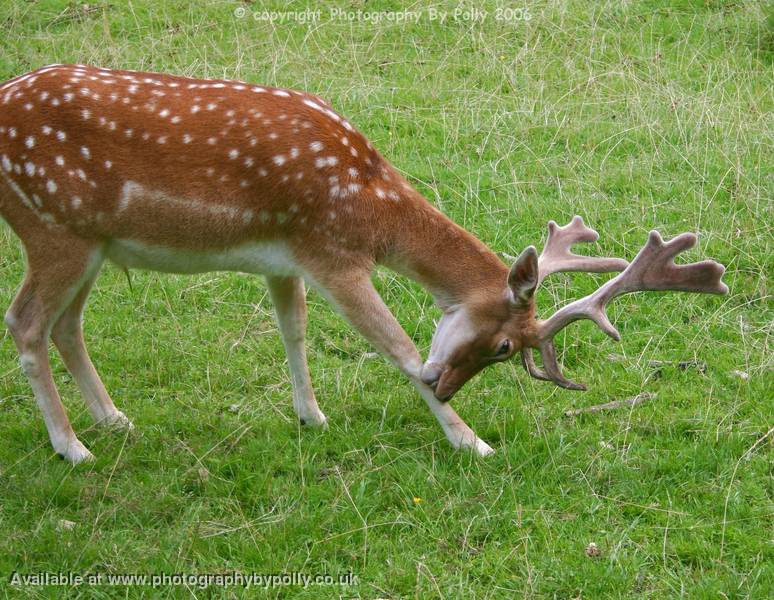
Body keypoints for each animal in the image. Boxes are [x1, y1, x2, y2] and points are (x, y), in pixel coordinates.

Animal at [0, 65, 728, 462]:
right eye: (502, 346)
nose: (446, 386)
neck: (368, 203)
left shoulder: (285, 258)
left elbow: (292, 330)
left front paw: (311, 416)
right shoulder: (333, 254)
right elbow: (398, 348)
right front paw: (471, 442)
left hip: (92, 244)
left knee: (66, 325)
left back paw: (114, 419)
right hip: (53, 228)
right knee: (26, 322)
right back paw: (73, 447)